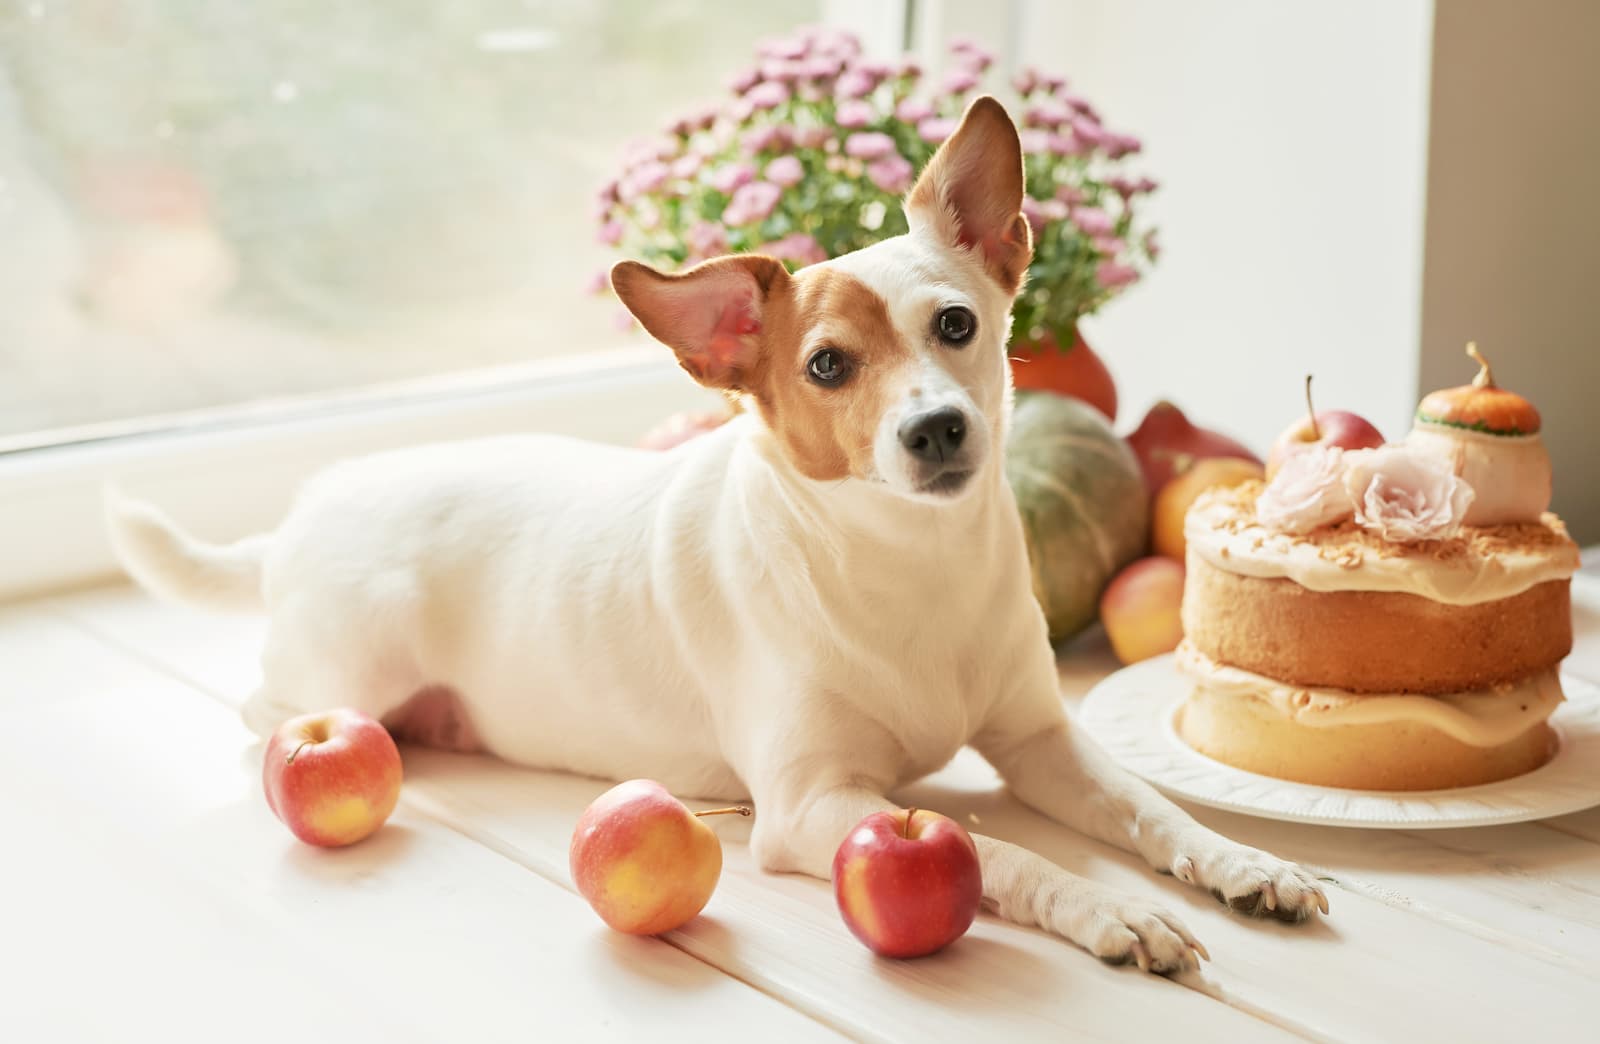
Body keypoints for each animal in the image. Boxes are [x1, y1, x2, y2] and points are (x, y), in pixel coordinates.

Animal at [112, 95, 1324, 973]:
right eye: (827, 365)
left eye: (956, 325)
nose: (937, 428)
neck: (908, 569)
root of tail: (306, 512)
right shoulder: (813, 806)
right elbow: (1001, 852)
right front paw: (1102, 908)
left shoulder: (1040, 742)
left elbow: (1146, 806)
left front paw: (1234, 859)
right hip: (349, 677)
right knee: (268, 705)